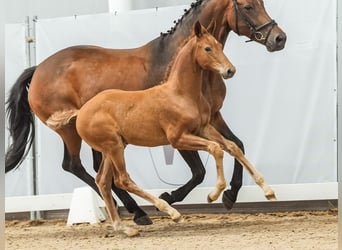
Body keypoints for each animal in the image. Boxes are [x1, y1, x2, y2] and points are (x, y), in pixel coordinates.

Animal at [5, 0, 286, 225]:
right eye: (248, 6)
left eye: (262, 2)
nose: (279, 38)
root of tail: (37, 69)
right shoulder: (177, 134)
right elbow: (200, 171)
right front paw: (172, 197)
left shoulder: (213, 117)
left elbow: (236, 145)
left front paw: (232, 194)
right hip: (70, 132)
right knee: (75, 166)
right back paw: (136, 212)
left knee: (96, 170)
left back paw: (130, 210)